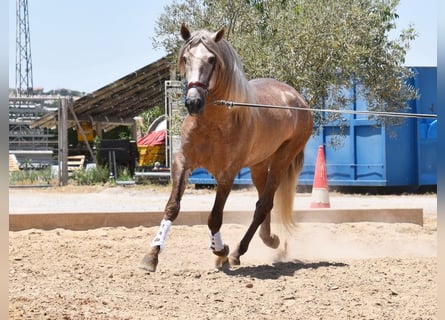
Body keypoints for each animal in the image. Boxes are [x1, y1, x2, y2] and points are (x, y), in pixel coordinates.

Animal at [141, 23, 312, 272]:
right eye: (185, 57)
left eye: (212, 59)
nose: (193, 102)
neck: (212, 122)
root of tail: (298, 99)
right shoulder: (183, 162)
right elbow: (172, 207)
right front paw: (152, 255)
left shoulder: (226, 175)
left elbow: (214, 217)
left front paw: (221, 251)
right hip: (259, 165)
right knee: (265, 203)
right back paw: (270, 240)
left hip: (282, 160)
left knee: (263, 205)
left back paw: (239, 251)